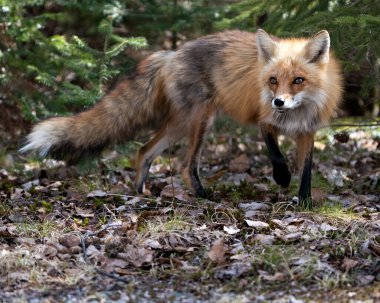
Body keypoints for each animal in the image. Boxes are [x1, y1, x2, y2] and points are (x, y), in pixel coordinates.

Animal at [20, 29, 344, 208]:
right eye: (273, 80)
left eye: (299, 80)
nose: (278, 101)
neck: (296, 112)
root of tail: (172, 52)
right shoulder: (263, 119)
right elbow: (276, 154)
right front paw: (282, 178)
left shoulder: (308, 131)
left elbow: (307, 171)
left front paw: (305, 203)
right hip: (200, 121)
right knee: (187, 166)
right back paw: (203, 196)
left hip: (180, 125)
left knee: (143, 151)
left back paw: (141, 194)